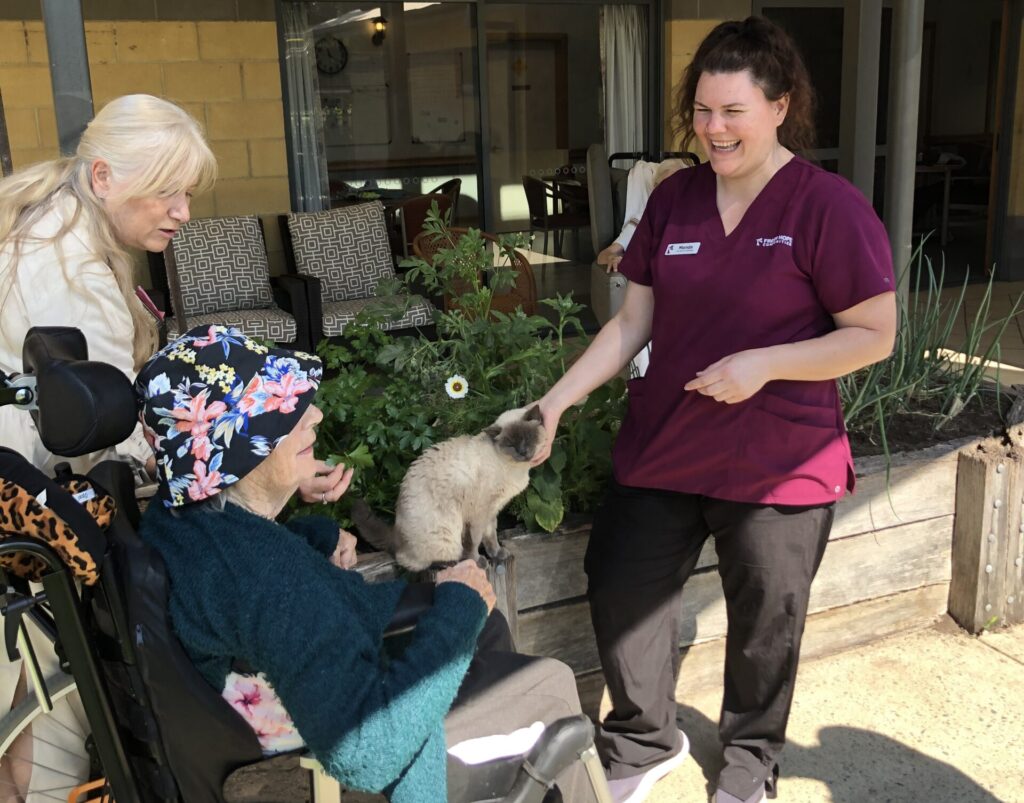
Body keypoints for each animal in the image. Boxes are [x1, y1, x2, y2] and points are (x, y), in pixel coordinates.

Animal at [350, 407, 548, 569]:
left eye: (528, 438)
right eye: (511, 444)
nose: (523, 452)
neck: (516, 468)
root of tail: (396, 534)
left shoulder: (493, 510)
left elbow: (491, 536)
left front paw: (497, 554)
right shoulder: (479, 514)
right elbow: (475, 541)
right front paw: (478, 561)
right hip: (447, 533)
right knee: (416, 562)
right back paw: (455, 562)